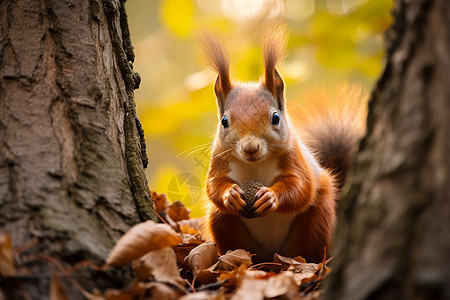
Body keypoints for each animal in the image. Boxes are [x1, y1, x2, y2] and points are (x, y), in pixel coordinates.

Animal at [200, 27, 366, 264]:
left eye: (275, 118)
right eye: (224, 121)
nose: (250, 148)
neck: (255, 164)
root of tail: (272, 255)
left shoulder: (294, 158)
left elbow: (300, 186)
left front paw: (271, 197)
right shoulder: (220, 160)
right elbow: (213, 185)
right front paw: (229, 194)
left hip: (316, 220)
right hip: (223, 222)